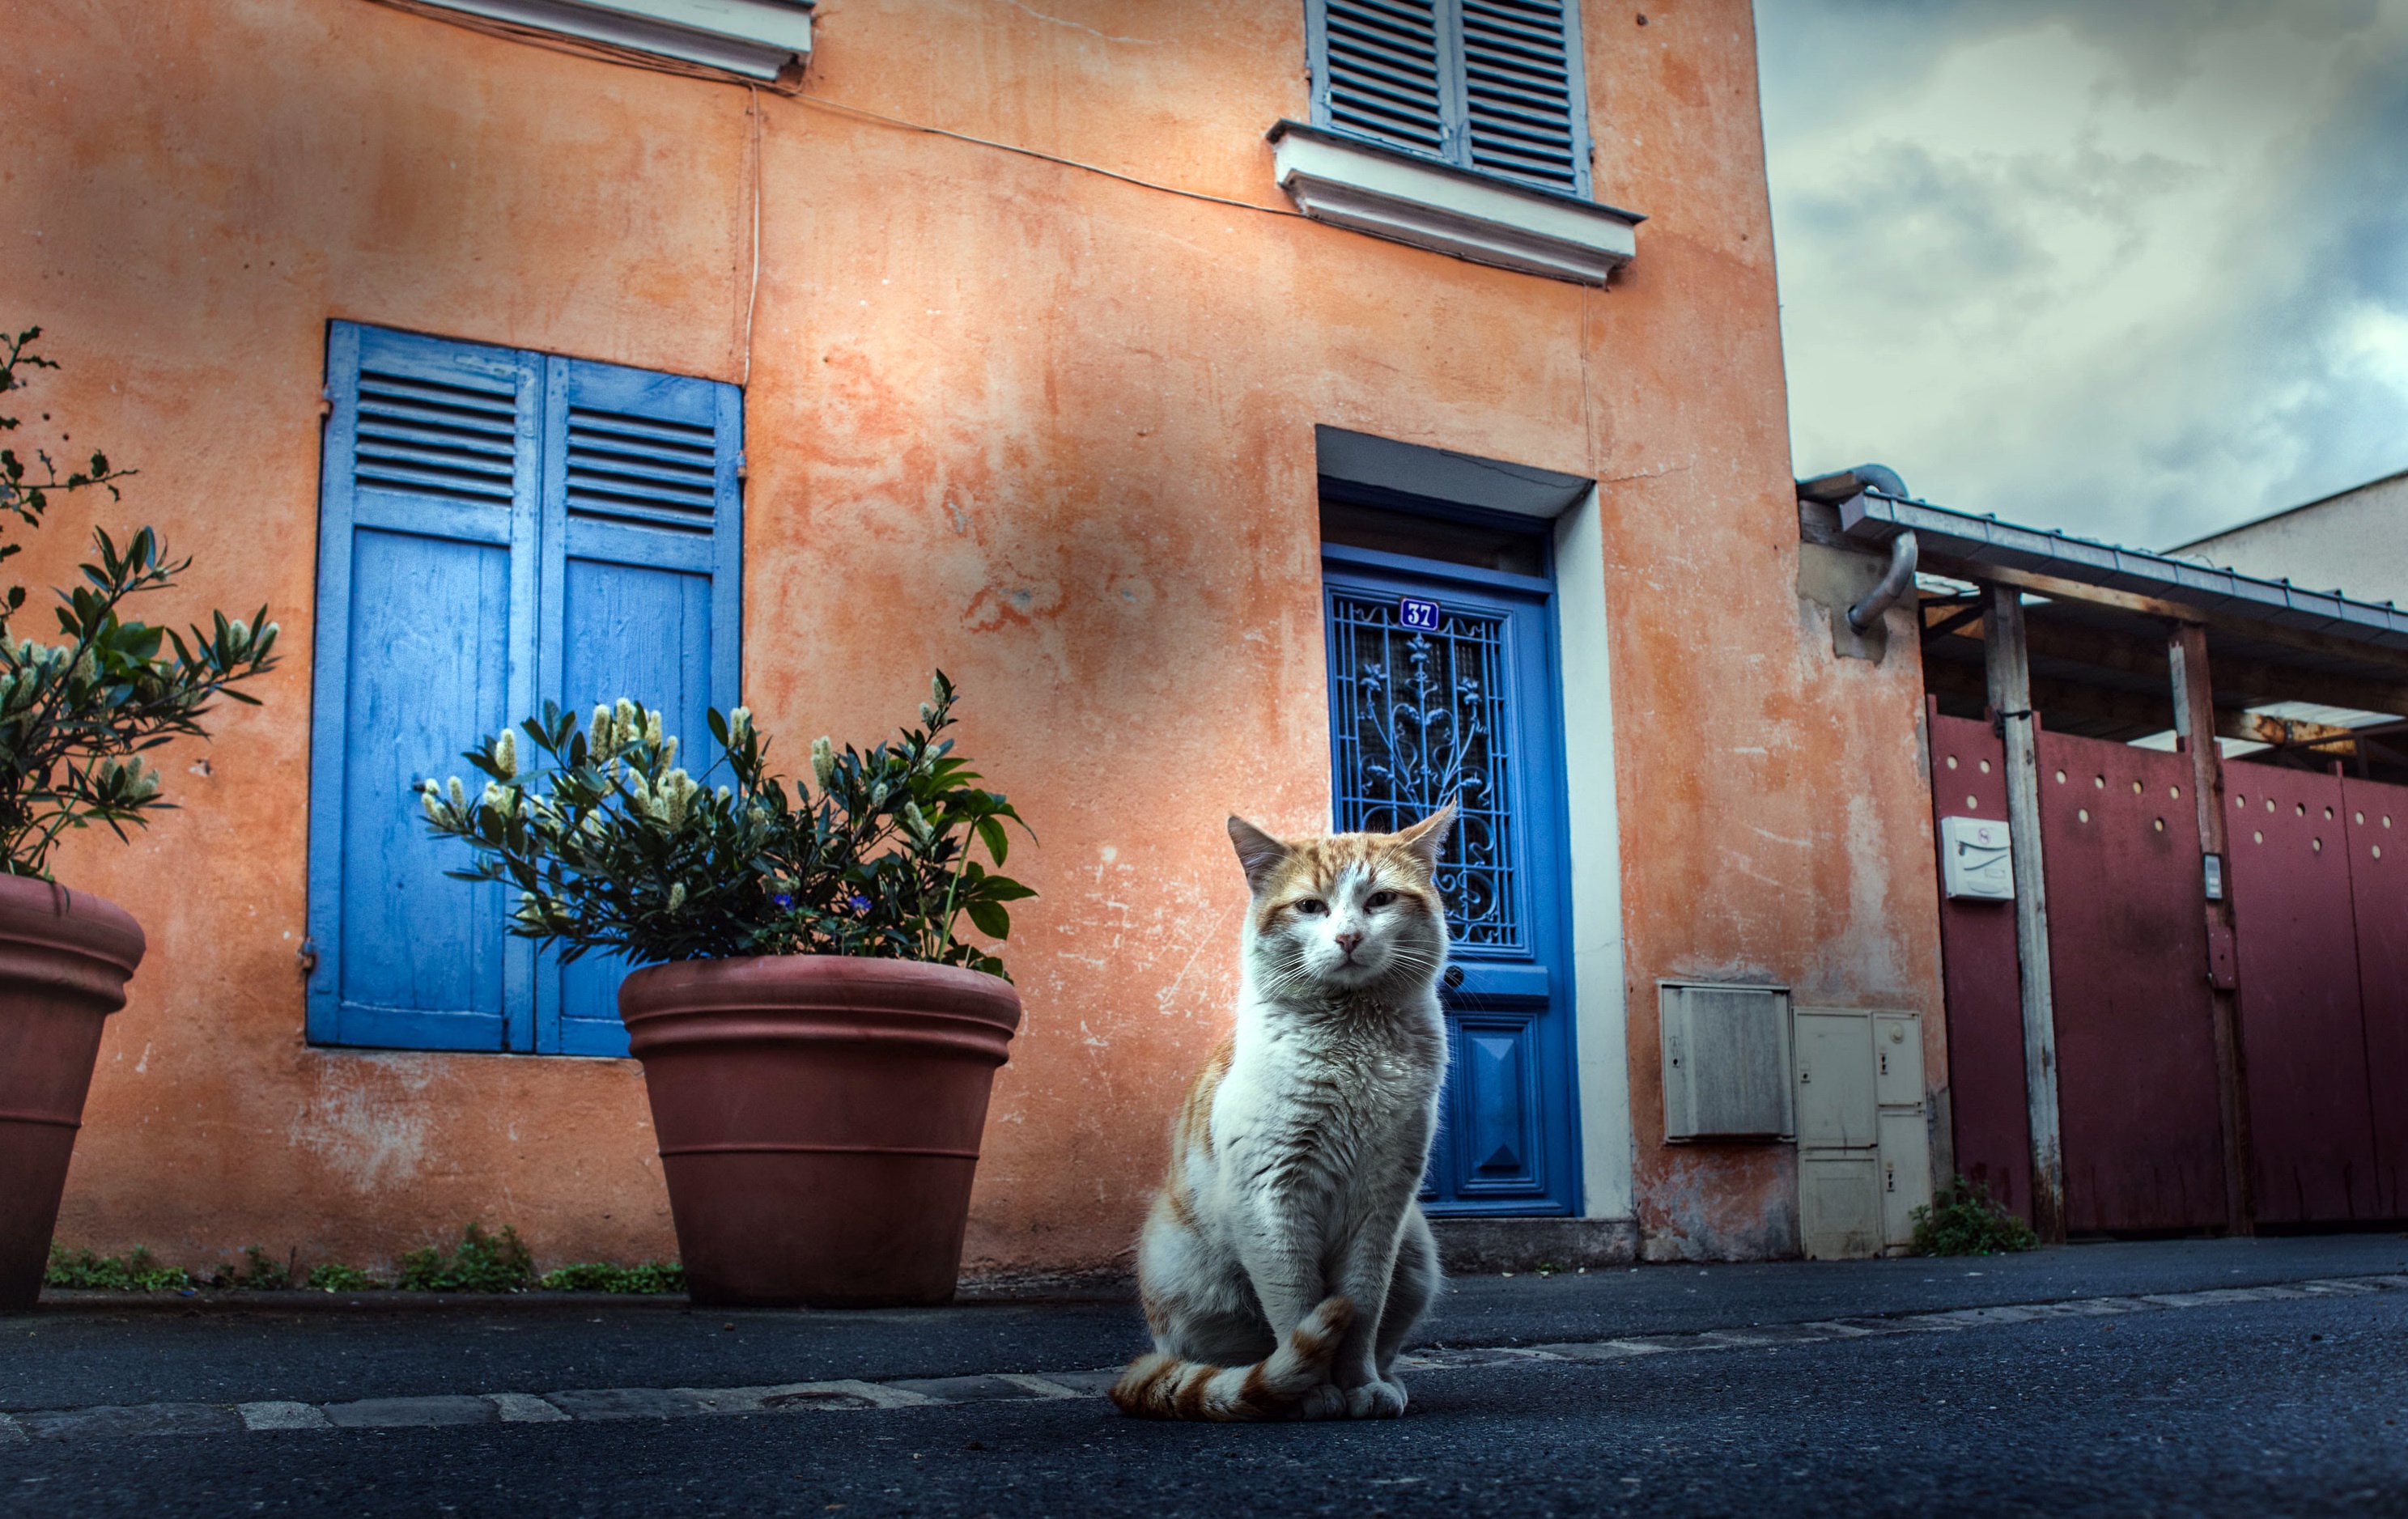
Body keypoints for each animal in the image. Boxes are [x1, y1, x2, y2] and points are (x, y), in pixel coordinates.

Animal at [1102, 808, 1445, 1424]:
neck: (1351, 1036)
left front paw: (1359, 1387)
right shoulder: (1272, 1195)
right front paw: (1309, 1392)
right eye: (1309, 906)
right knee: (1228, 1361)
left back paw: (1386, 1381)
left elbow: (1361, 1310)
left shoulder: (1382, 1203)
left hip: (1416, 1252)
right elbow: (1296, 1307)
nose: (1348, 936)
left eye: (1381, 899)